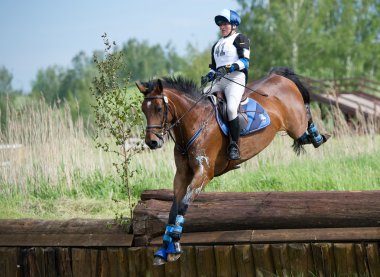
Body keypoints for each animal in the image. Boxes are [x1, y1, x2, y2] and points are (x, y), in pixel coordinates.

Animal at [135, 66, 328, 264]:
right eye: (144, 110)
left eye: (159, 108)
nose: (152, 142)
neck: (195, 121)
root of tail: (278, 76)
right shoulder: (182, 174)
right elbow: (173, 209)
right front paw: (163, 250)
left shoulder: (204, 174)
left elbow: (183, 205)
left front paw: (175, 246)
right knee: (303, 135)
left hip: (296, 124)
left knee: (307, 117)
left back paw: (318, 136)